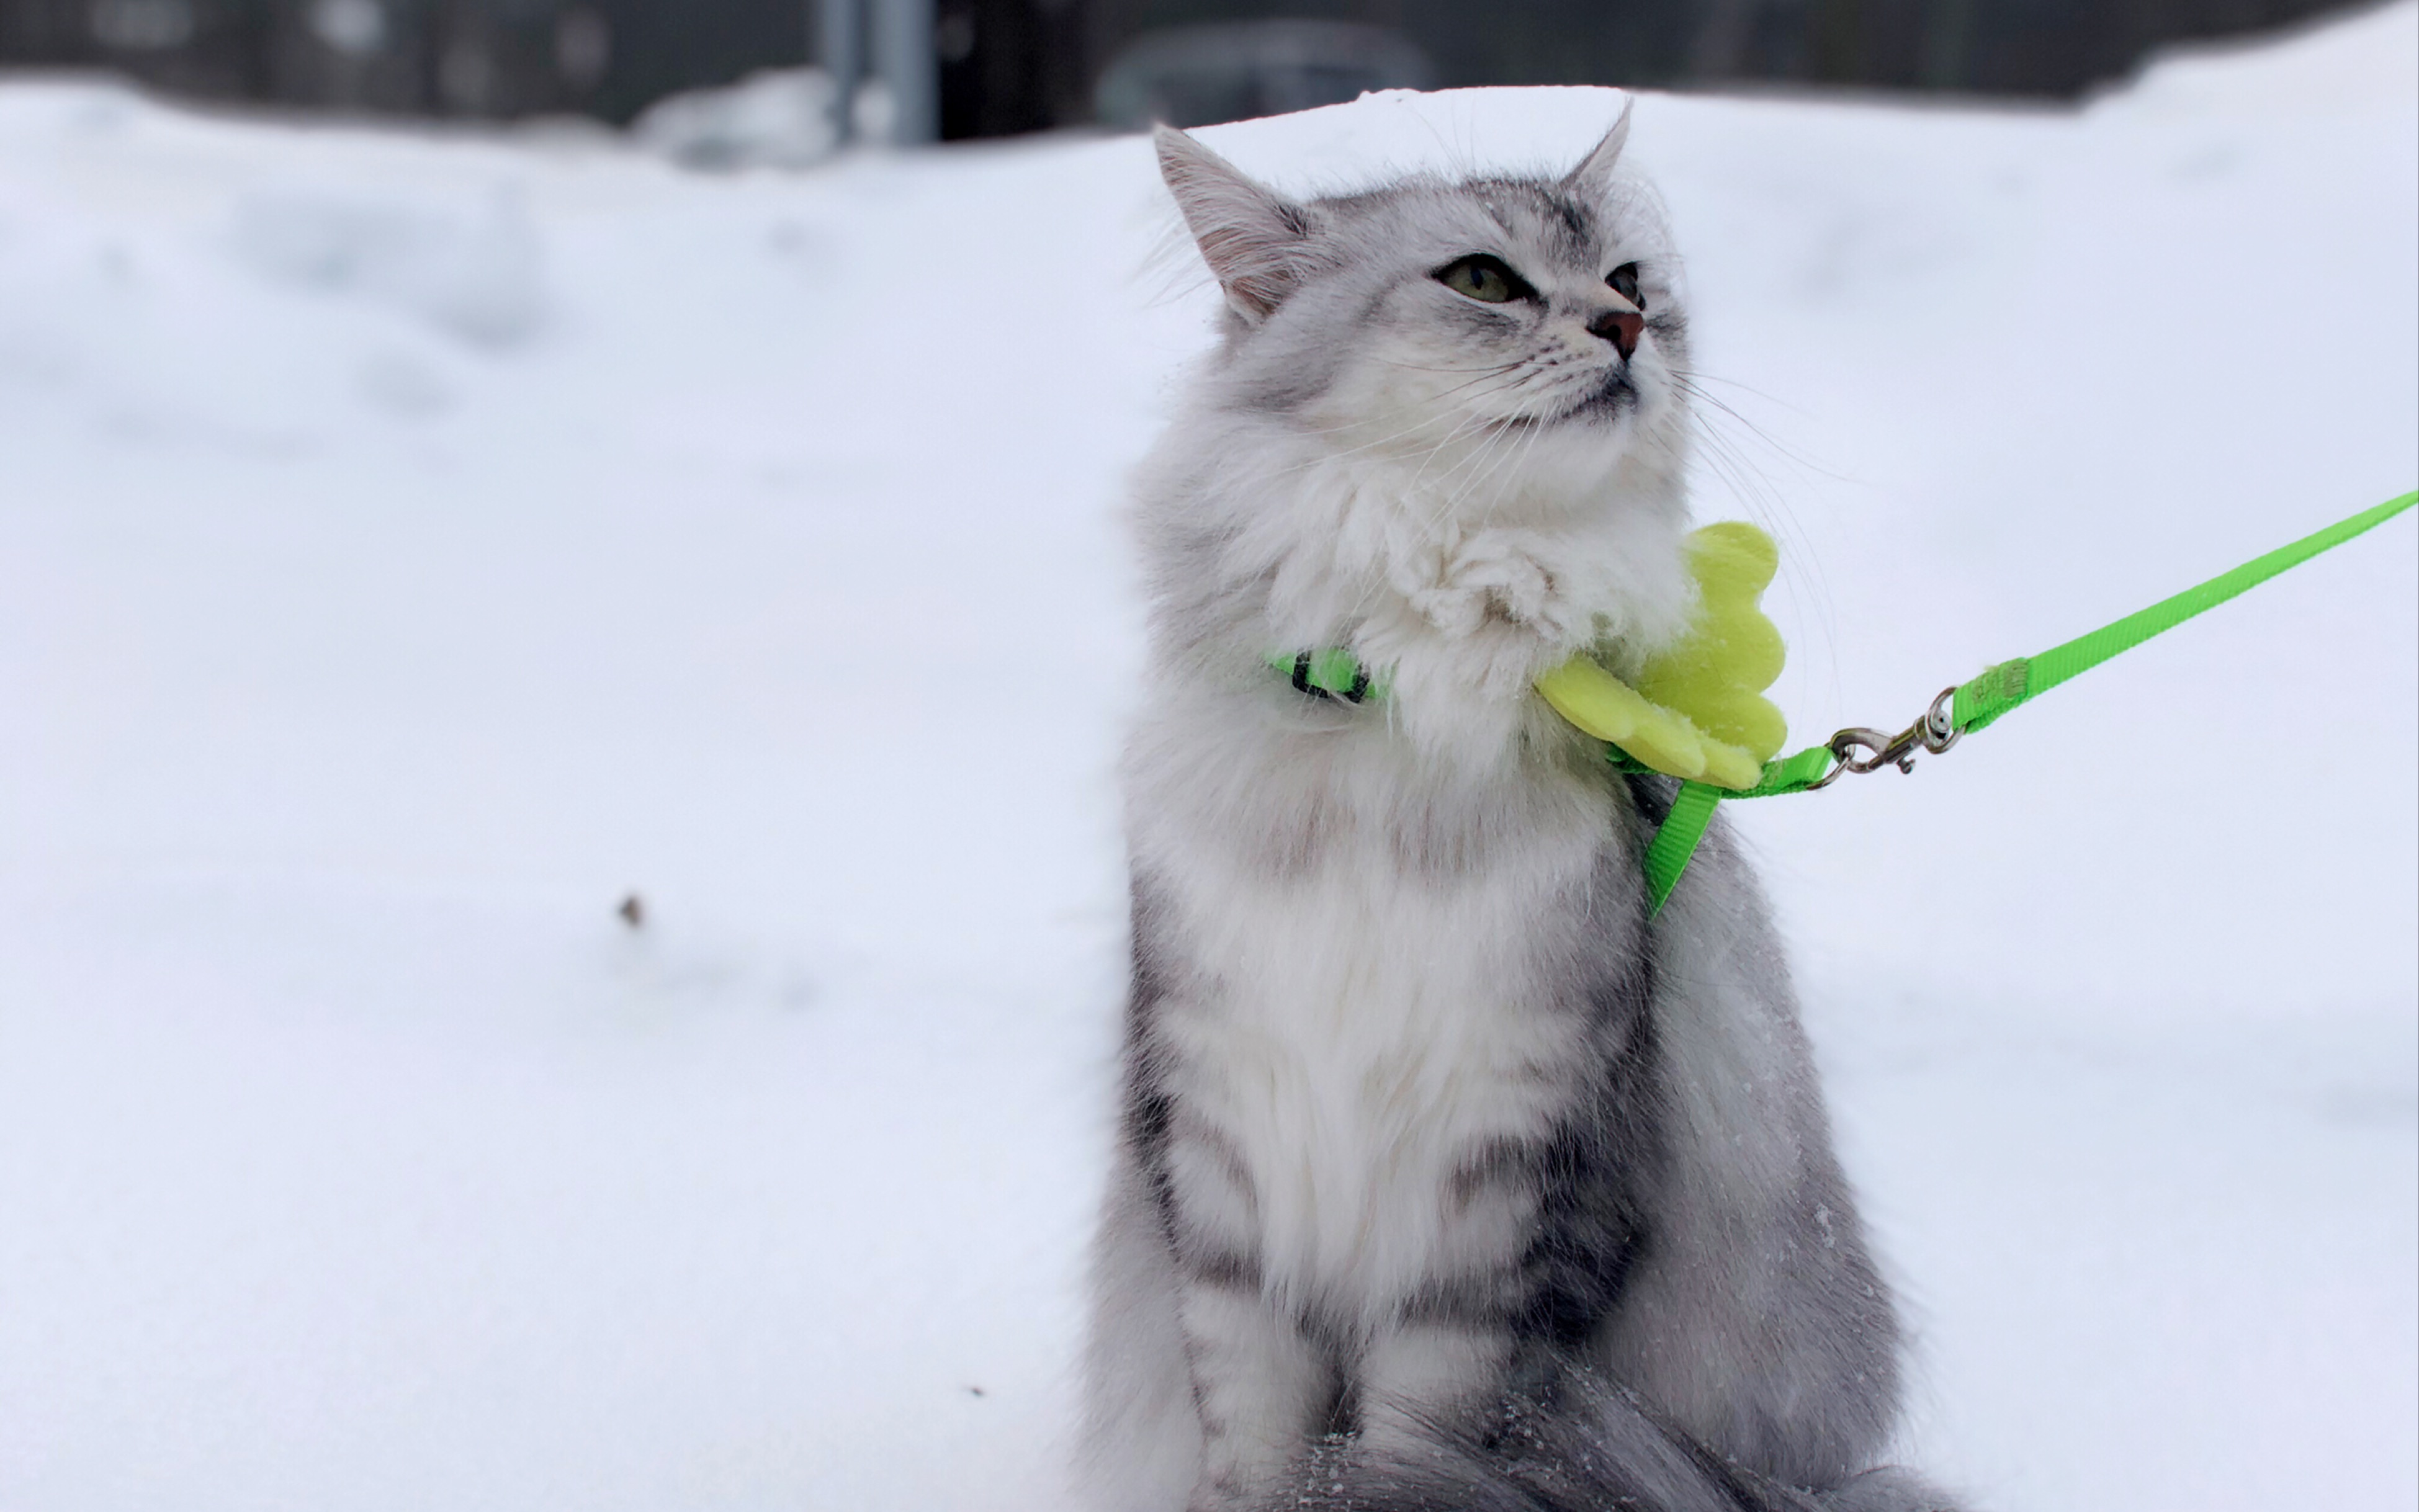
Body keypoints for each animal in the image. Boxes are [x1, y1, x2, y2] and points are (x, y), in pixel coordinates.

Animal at [1079, 106, 1964, 1510]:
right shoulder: (1217, 1155)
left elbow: (1419, 1432)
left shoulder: (1513, 1175)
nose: (1626, 328)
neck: (1388, 716)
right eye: (1482, 281)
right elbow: (1251, 1432)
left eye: (1627, 279)